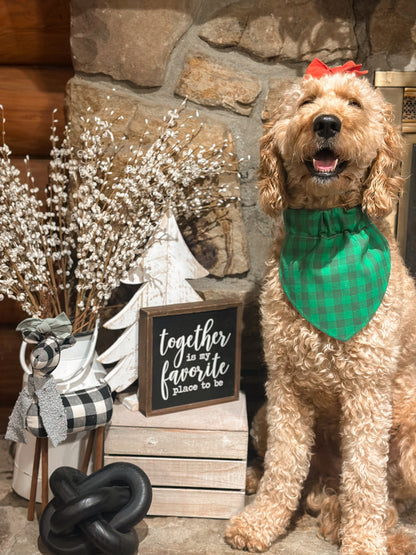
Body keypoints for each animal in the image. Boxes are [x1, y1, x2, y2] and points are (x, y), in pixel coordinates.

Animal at [225, 59, 416, 554]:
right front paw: (262, 522)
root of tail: (324, 486)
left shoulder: (367, 391)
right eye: (306, 102)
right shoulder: (285, 385)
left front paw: (363, 541)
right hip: (261, 416)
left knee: (382, 496)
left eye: (355, 103)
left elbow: (365, 480)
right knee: (301, 474)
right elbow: (284, 464)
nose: (326, 123)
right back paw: (264, 484)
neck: (325, 232)